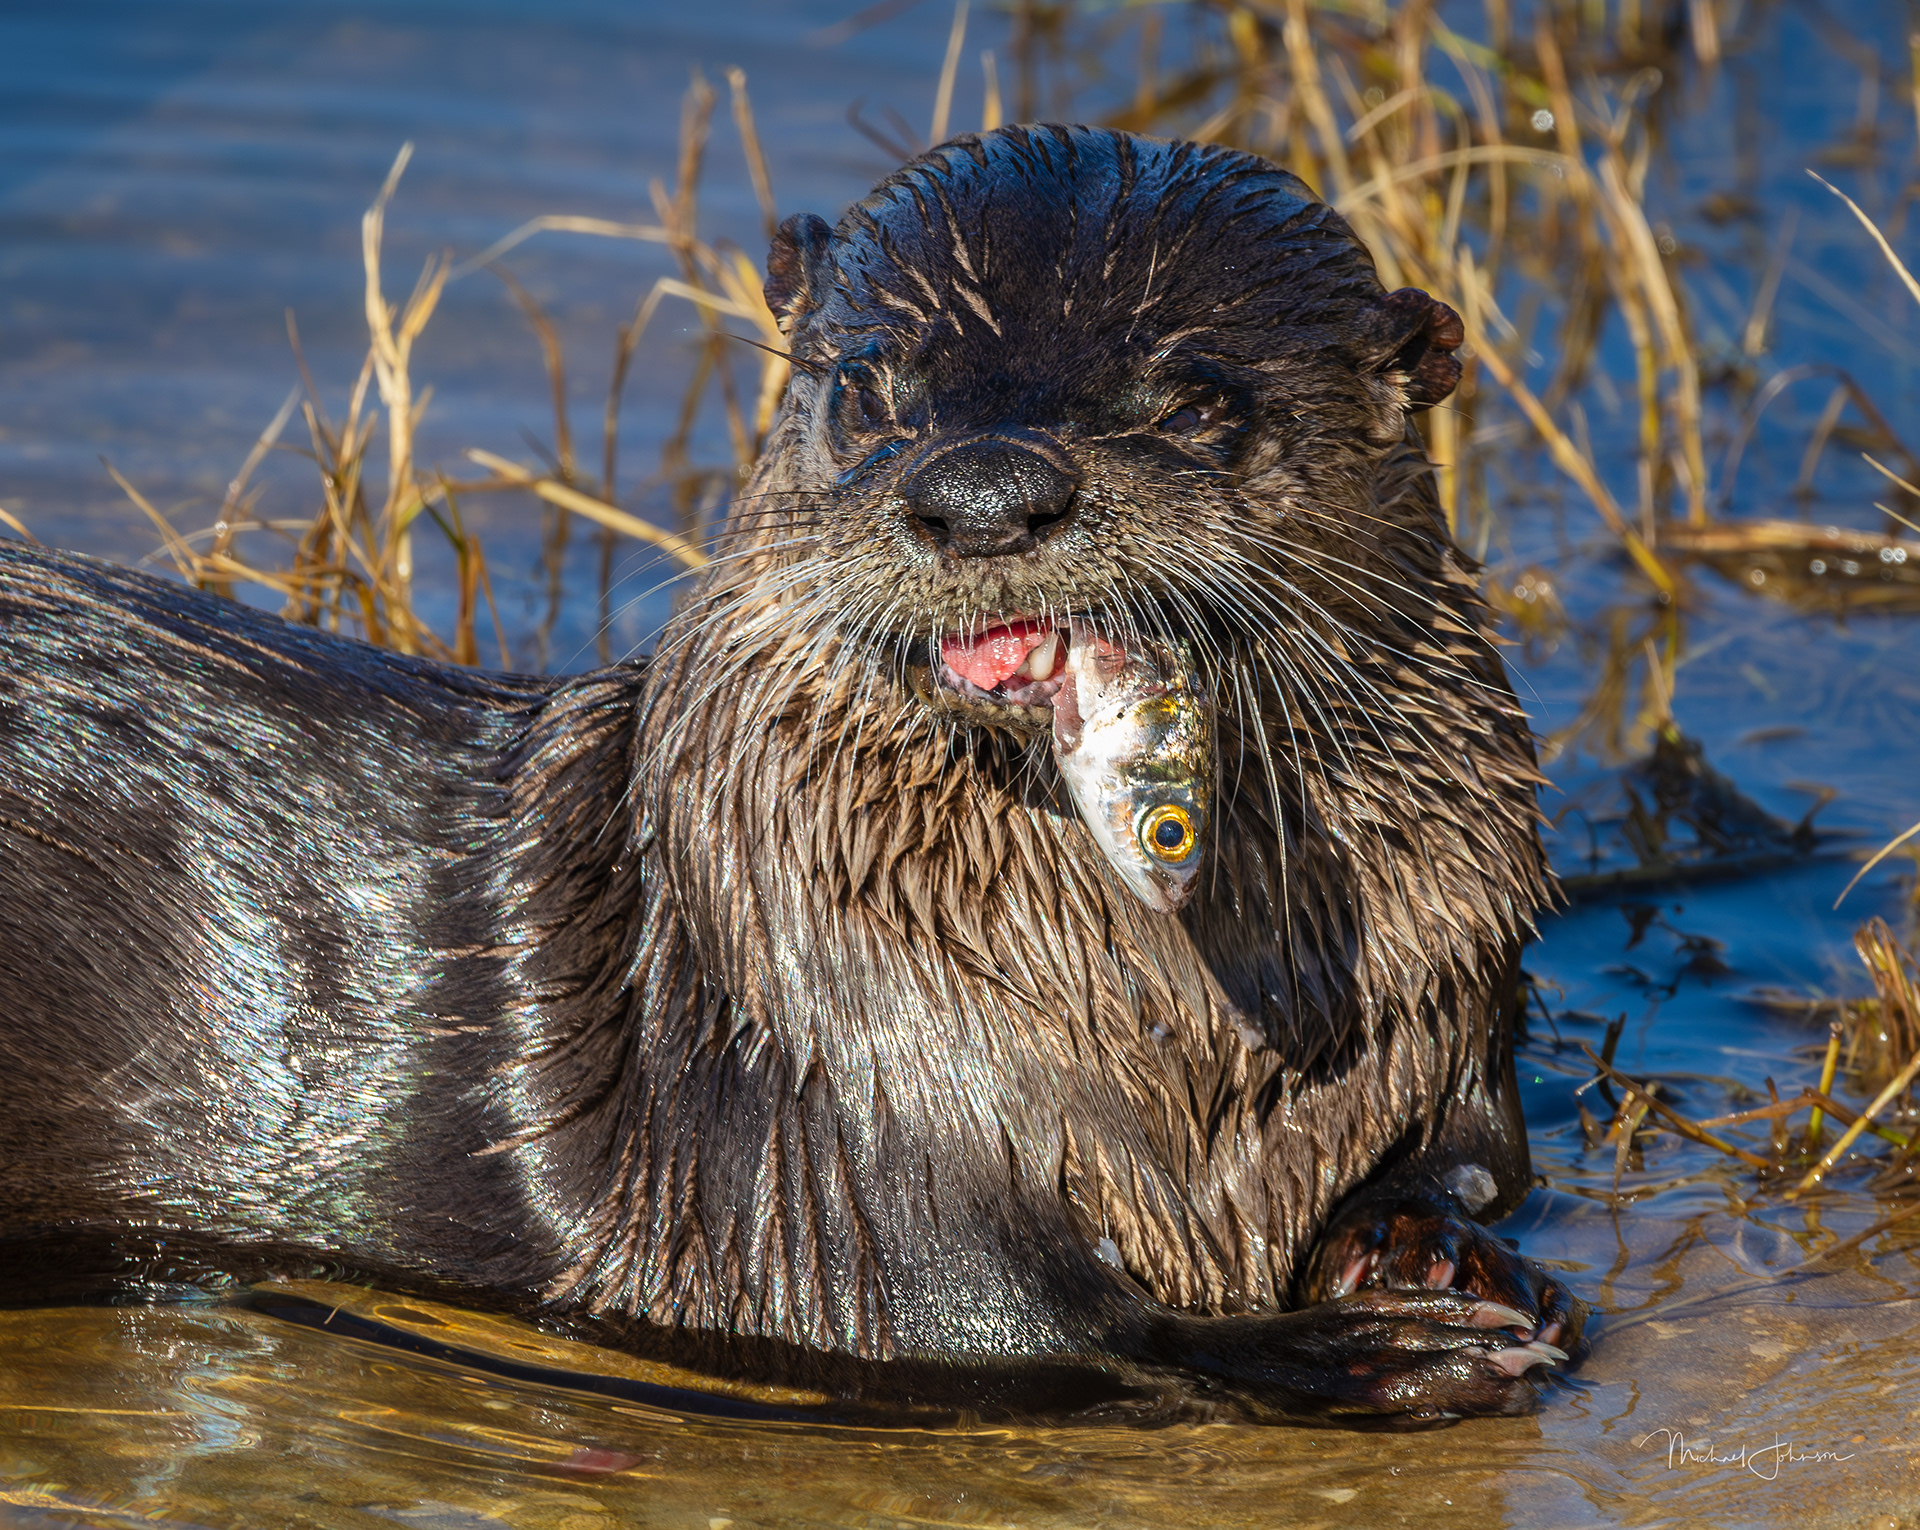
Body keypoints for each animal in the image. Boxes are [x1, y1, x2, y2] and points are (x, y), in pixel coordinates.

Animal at [0, 125, 1582, 1423]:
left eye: (1195, 400)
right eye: (869, 385)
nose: (985, 487)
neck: (1183, 1047)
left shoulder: (1455, 984)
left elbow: (1484, 1159)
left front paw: (1431, 1243)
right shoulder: (838, 1152)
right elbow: (1027, 1333)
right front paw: (1359, 1348)